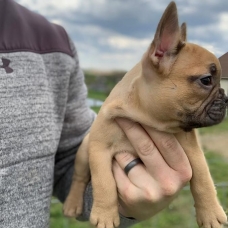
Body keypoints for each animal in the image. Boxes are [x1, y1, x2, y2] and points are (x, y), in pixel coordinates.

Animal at [63, 1, 227, 228]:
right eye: (206, 80)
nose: (226, 98)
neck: (149, 118)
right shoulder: (98, 148)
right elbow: (103, 181)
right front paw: (105, 214)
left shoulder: (193, 150)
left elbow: (203, 179)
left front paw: (211, 213)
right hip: (84, 150)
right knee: (79, 177)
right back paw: (72, 203)